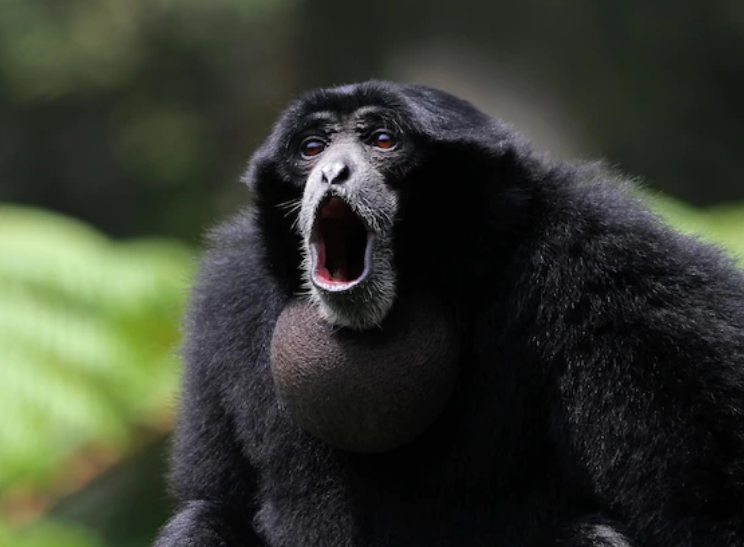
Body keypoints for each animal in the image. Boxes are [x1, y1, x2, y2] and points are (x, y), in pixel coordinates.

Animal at [154, 81, 744, 547]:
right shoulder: (229, 297)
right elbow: (212, 497)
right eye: (312, 148)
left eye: (382, 140)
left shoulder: (616, 266)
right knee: (202, 521)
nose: (331, 173)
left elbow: (706, 509)